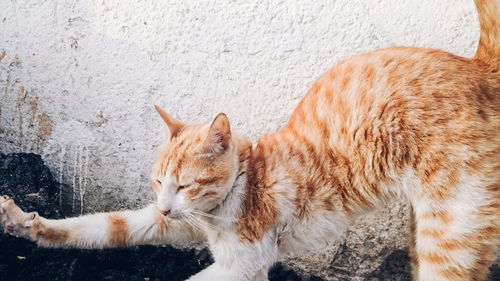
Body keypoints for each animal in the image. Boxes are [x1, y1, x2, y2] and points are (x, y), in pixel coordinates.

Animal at [0, 0, 500, 280]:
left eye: (185, 184)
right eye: (156, 183)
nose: (166, 206)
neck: (237, 189)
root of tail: (475, 66)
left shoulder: (242, 265)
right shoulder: (174, 226)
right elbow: (104, 227)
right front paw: (28, 225)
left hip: (448, 236)